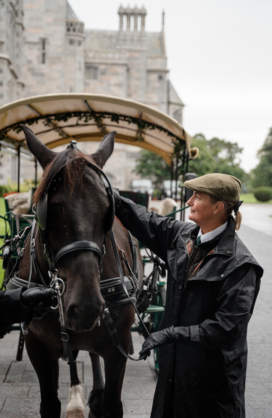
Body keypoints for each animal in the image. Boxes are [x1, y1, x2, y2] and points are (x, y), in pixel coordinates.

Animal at [17, 127, 143, 418]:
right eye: (49, 209)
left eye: (109, 209)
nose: (85, 306)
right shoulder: (36, 346)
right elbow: (49, 404)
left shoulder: (118, 345)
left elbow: (113, 405)